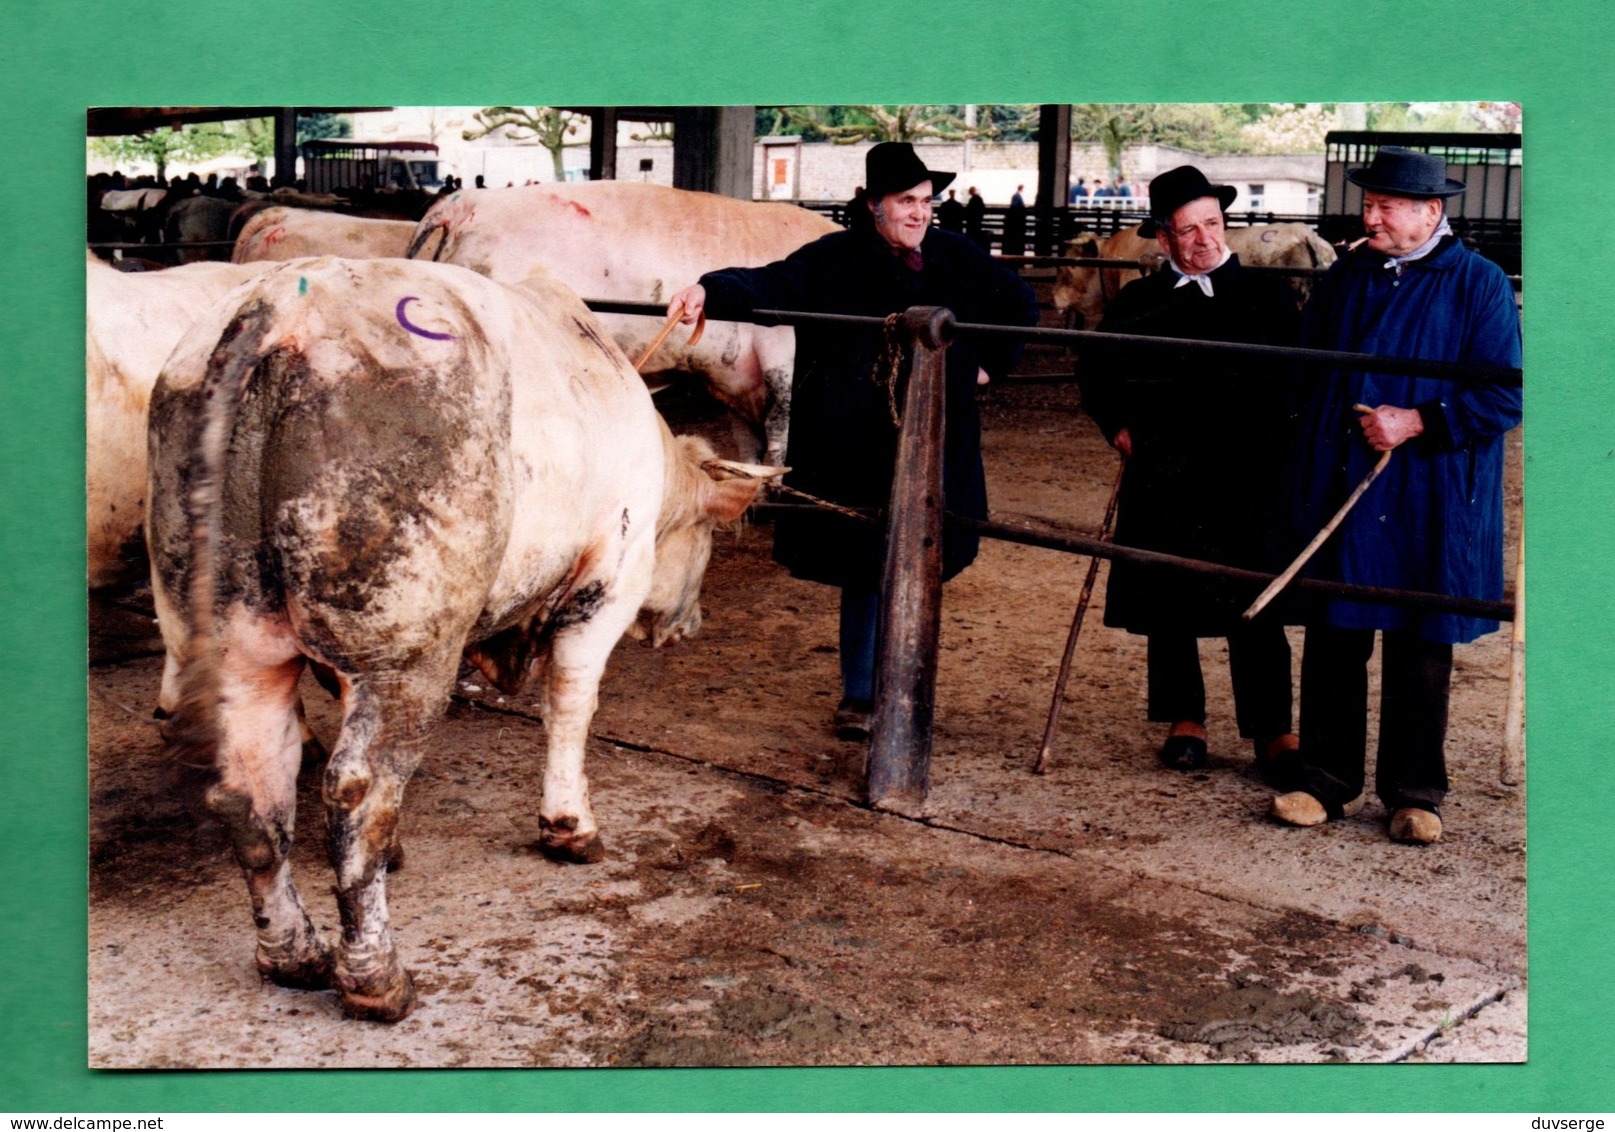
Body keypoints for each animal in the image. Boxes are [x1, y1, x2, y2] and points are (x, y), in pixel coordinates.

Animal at [146, 253, 775, 1014]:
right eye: (707, 537)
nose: (691, 623)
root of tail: (280, 312)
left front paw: (396, 855)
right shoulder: (607, 579)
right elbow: (572, 702)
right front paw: (570, 827)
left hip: (234, 640)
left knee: (252, 792)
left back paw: (294, 953)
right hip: (407, 646)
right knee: (357, 786)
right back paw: (375, 977)